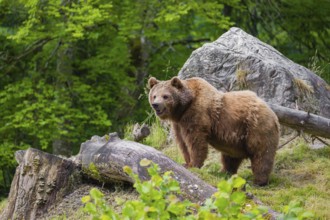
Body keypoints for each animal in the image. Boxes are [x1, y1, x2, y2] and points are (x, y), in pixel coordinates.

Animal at [148, 76, 280, 186]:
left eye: (165, 96)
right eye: (154, 95)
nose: (156, 105)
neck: (182, 108)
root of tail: (273, 114)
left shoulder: (196, 114)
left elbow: (195, 141)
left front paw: (193, 164)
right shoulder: (178, 124)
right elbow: (182, 143)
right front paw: (186, 162)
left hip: (256, 128)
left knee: (261, 154)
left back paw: (258, 181)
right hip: (236, 140)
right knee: (230, 157)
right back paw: (224, 172)